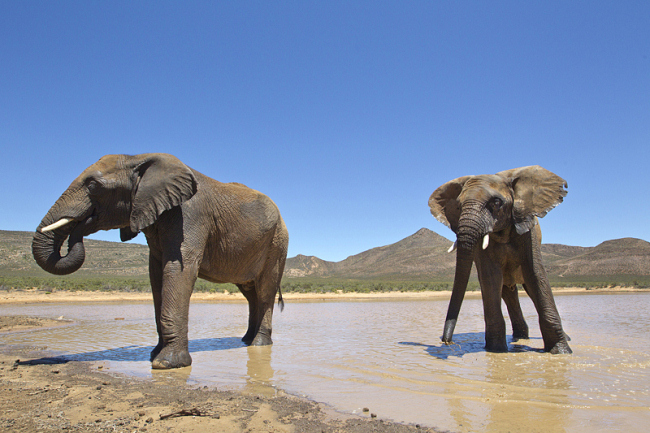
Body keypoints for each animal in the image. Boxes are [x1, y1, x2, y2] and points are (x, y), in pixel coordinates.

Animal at [33, 153, 288, 368]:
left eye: (94, 186)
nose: (80, 225)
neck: (138, 158)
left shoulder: (190, 215)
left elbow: (177, 270)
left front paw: (167, 364)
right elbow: (156, 276)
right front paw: (154, 355)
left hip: (276, 243)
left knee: (264, 291)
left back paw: (259, 344)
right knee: (250, 292)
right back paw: (246, 340)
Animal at [428, 164, 568, 352]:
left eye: (496, 202)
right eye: (458, 206)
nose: (447, 341)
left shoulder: (527, 230)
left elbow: (536, 274)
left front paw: (561, 351)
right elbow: (490, 277)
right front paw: (496, 350)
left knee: (529, 289)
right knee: (508, 292)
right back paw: (520, 337)